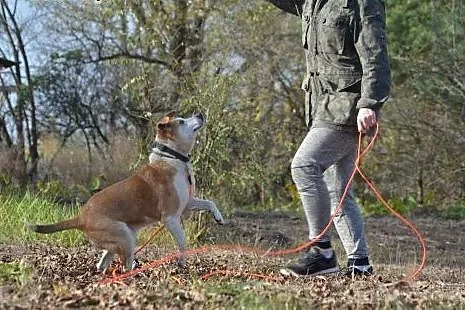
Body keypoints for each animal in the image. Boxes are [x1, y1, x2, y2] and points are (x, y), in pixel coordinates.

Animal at [29, 111, 225, 272]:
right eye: (182, 121)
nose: (199, 114)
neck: (172, 158)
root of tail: (81, 218)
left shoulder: (188, 203)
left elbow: (210, 203)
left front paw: (218, 217)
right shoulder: (170, 218)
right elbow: (183, 243)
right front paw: (182, 263)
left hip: (123, 237)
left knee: (104, 263)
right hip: (126, 238)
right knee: (125, 265)